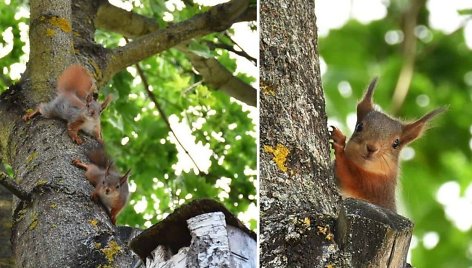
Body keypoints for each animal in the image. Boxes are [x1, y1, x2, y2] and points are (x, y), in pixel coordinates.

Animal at [328, 77, 446, 211]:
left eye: (396, 143)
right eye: (359, 127)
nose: (371, 148)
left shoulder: (378, 188)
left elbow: (351, 176)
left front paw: (339, 144)